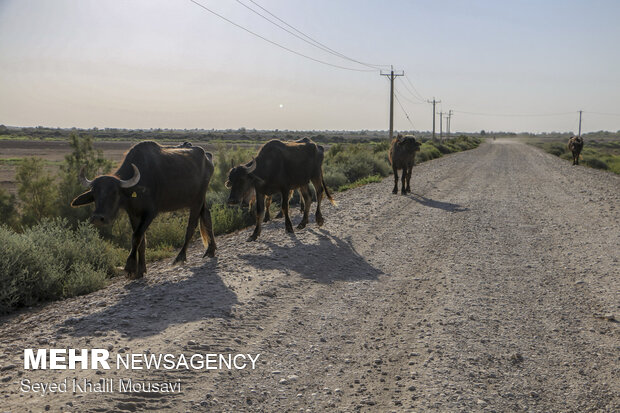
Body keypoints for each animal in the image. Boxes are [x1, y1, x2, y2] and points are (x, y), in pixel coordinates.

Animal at [69, 140, 216, 278]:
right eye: (94, 194)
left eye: (114, 193)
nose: (97, 218)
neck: (136, 189)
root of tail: (207, 156)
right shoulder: (133, 214)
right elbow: (142, 241)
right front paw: (141, 270)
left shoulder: (150, 213)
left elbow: (137, 237)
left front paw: (130, 267)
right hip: (200, 199)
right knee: (206, 216)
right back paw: (211, 250)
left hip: (197, 200)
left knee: (191, 226)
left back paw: (180, 257)